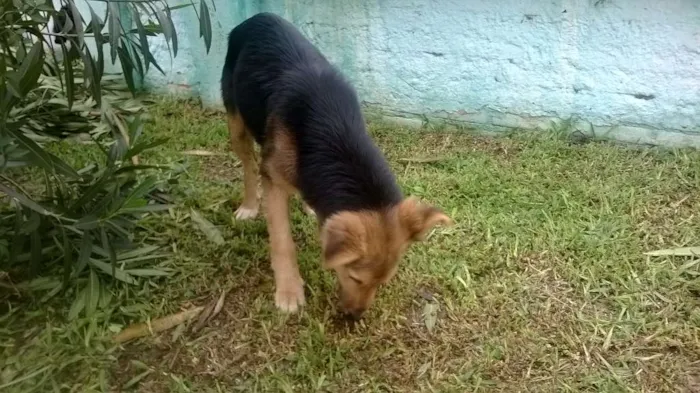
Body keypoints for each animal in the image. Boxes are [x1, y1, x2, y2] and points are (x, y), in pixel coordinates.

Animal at [220, 13, 454, 318]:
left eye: (382, 282)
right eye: (355, 277)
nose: (354, 316)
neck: (334, 129)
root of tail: (259, 17)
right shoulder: (273, 180)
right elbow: (282, 241)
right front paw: (289, 291)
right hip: (237, 124)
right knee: (248, 164)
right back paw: (249, 205)